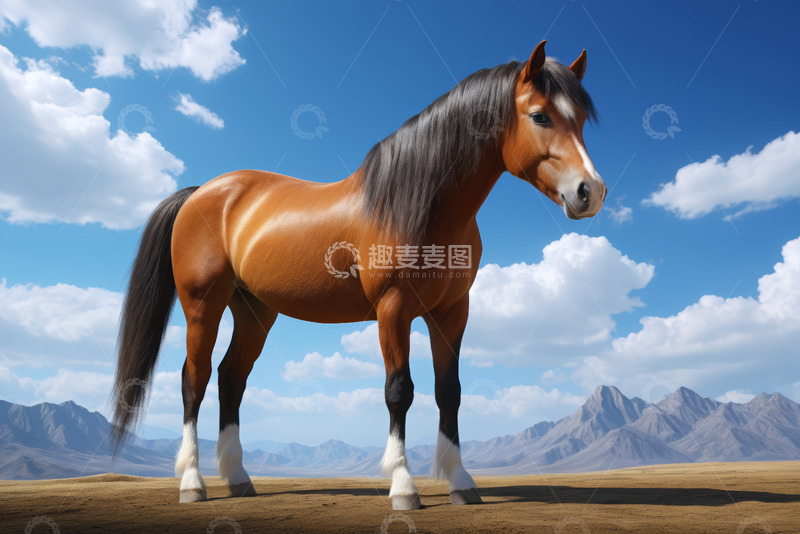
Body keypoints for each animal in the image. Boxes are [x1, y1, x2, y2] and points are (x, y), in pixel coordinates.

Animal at [111, 40, 605, 510]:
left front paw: (462, 483)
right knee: (193, 380)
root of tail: (202, 192)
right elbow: (399, 391)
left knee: (232, 378)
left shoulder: (451, 312)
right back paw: (193, 484)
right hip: (203, 304)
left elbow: (450, 392)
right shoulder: (393, 309)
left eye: (581, 118)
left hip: (254, 311)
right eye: (539, 115)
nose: (590, 192)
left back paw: (238, 480)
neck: (418, 204)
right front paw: (404, 487)